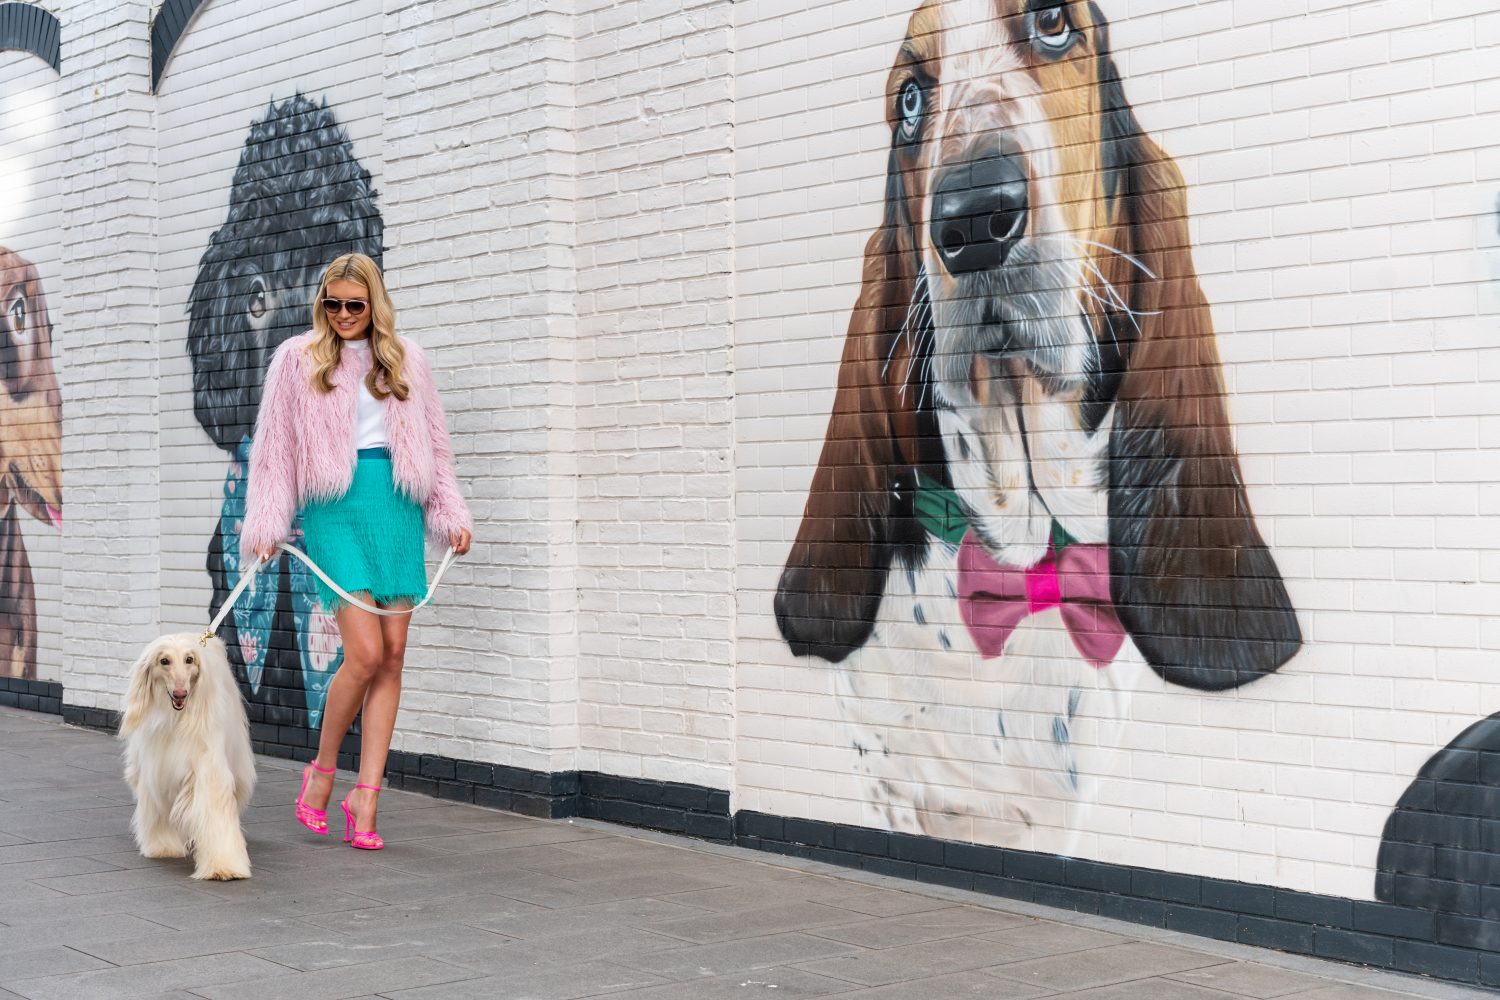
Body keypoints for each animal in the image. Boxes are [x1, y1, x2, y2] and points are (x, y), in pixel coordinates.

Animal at [119, 635, 256, 880]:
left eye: (189, 659)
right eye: (164, 661)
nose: (180, 694)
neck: (175, 719)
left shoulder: (207, 767)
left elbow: (213, 811)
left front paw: (223, 865)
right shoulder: (157, 769)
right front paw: (163, 846)